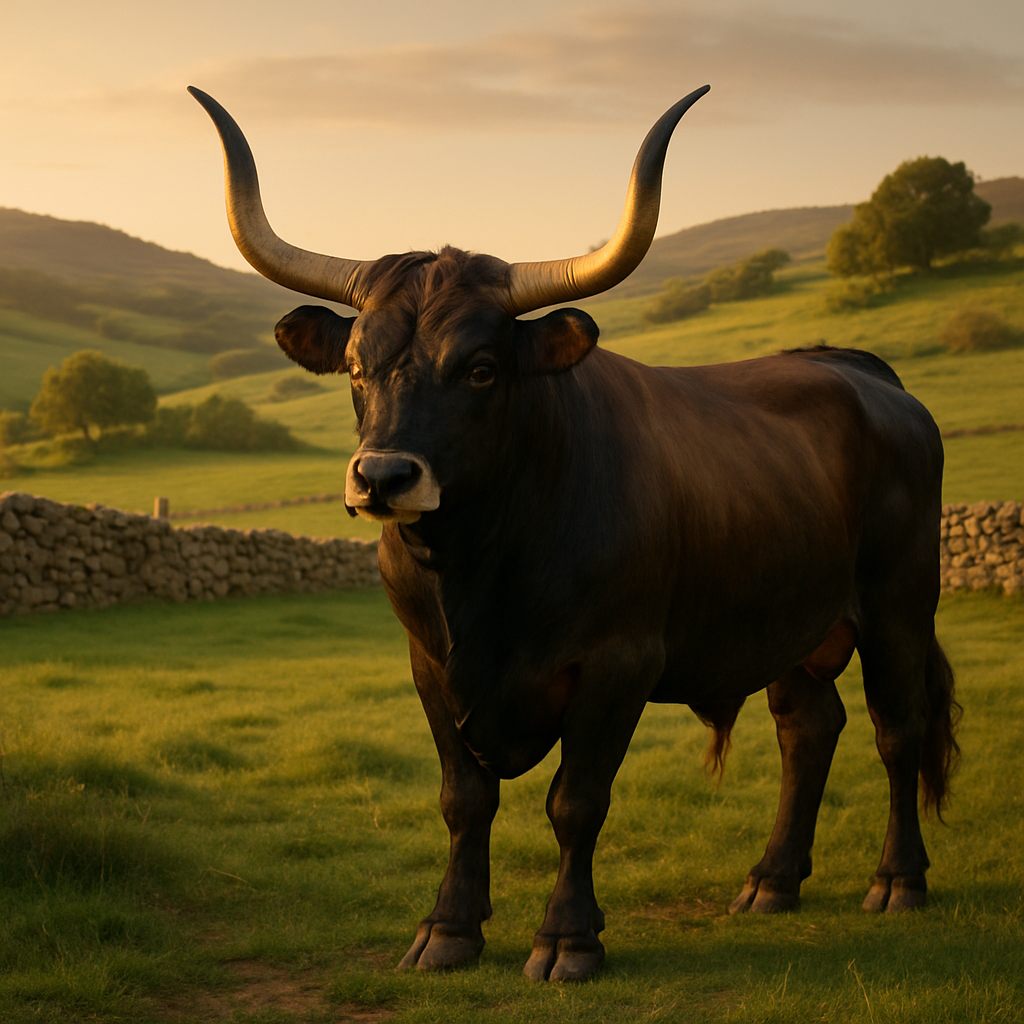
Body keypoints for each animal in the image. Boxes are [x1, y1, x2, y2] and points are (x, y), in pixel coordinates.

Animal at [190, 85, 959, 982]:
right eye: (354, 367)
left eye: (482, 368)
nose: (381, 477)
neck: (479, 569)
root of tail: (860, 370)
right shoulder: (429, 667)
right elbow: (463, 798)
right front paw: (448, 929)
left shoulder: (618, 663)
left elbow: (576, 802)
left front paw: (567, 937)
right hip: (790, 621)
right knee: (809, 729)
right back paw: (771, 881)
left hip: (900, 605)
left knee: (897, 730)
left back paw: (898, 880)